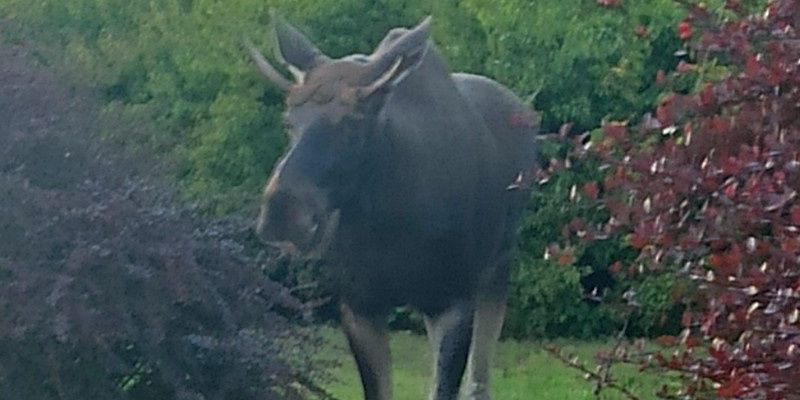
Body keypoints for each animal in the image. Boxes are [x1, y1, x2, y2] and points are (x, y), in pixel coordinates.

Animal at [250, 14, 536, 398]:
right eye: (288, 120)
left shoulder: (454, 301)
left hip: (498, 263)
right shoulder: (359, 307)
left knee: (479, 379)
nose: (283, 213)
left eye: (355, 120)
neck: (389, 223)